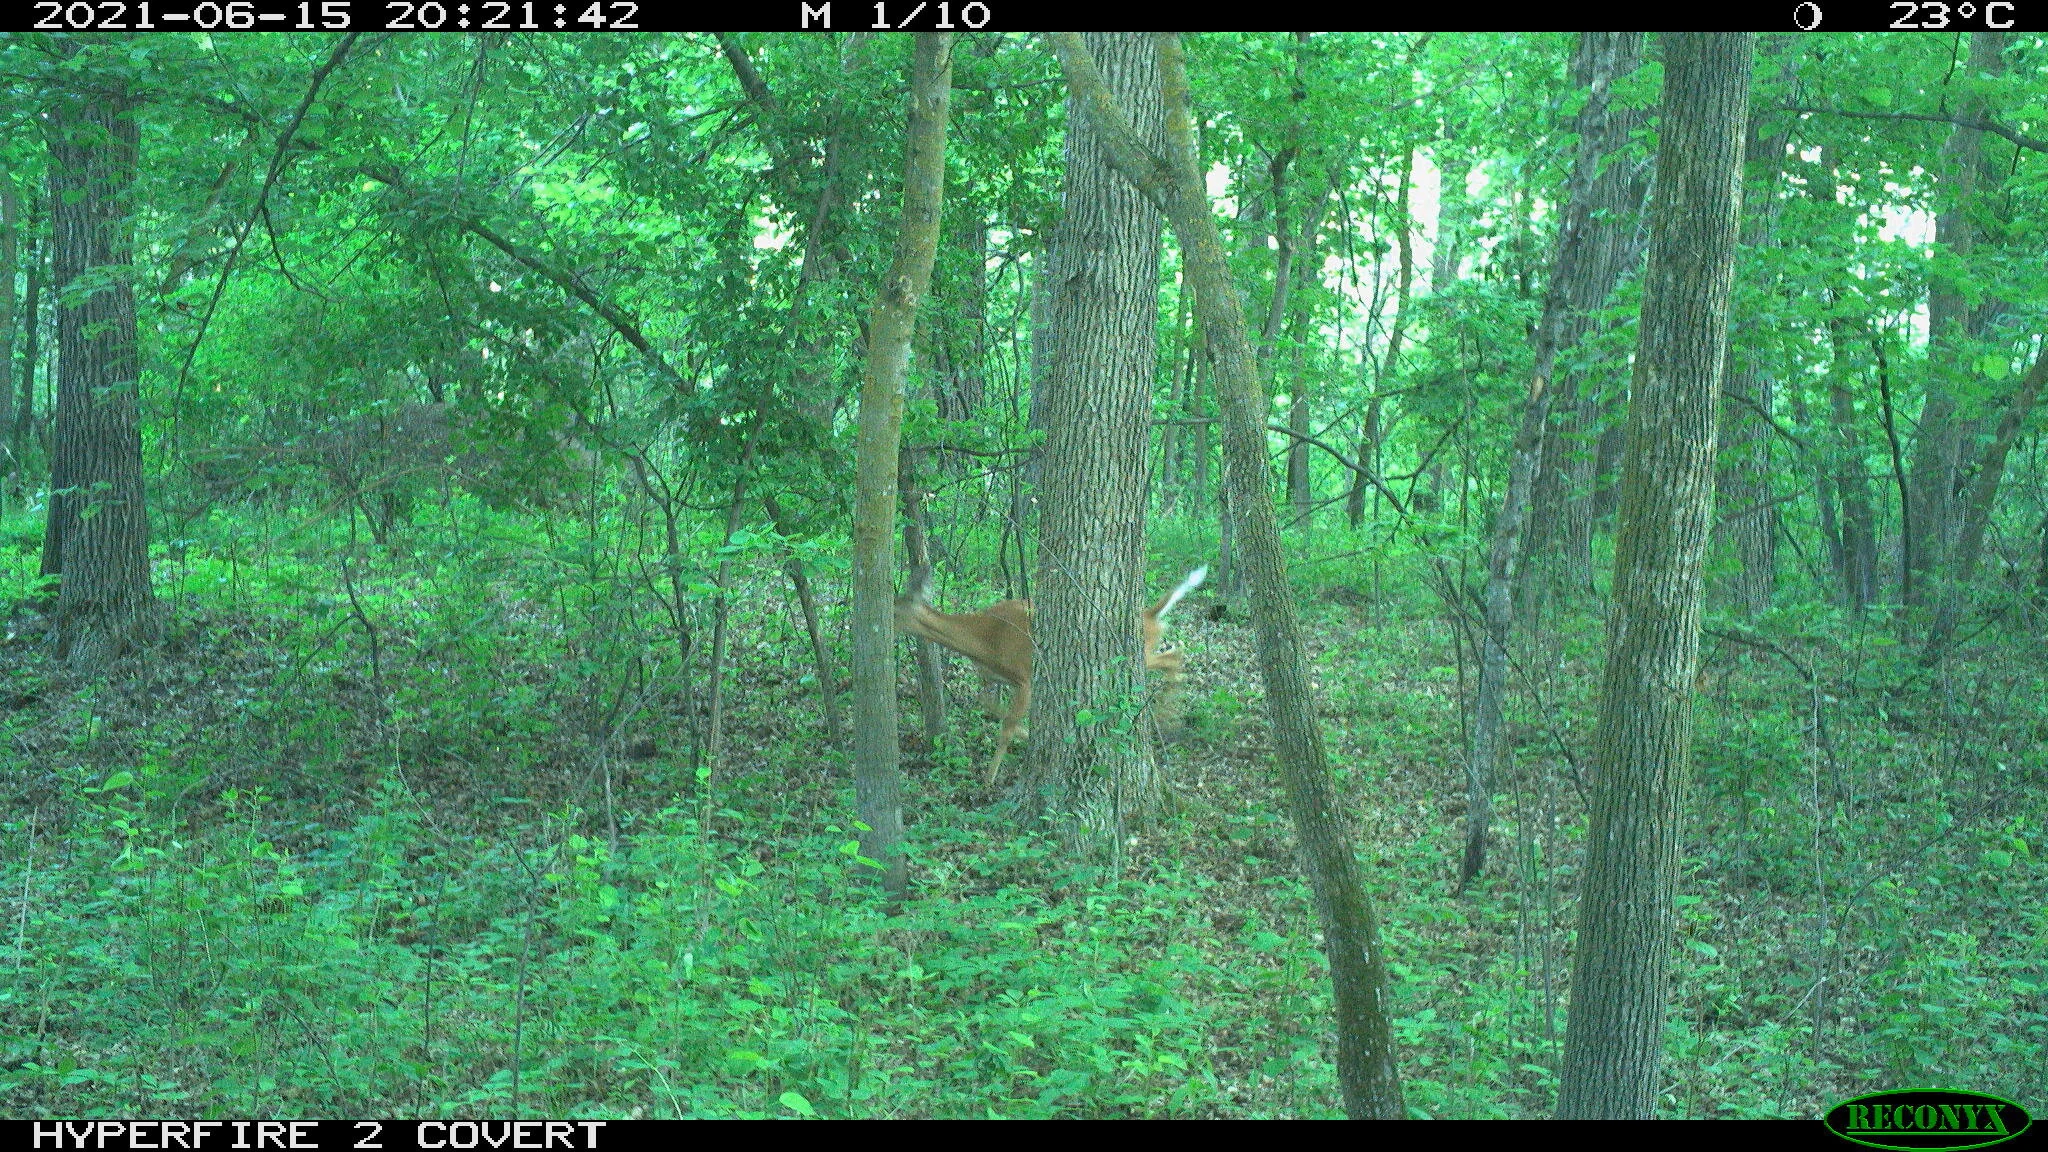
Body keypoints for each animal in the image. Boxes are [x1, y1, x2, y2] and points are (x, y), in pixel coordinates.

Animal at [893, 565, 1208, 785]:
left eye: (895, 608)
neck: (983, 639)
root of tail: (1150, 614)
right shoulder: (994, 678)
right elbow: (990, 707)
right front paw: (1028, 734)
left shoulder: (1025, 678)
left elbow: (1006, 725)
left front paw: (989, 779)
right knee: (1176, 659)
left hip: (1136, 655)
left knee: (1175, 658)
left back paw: (1168, 720)